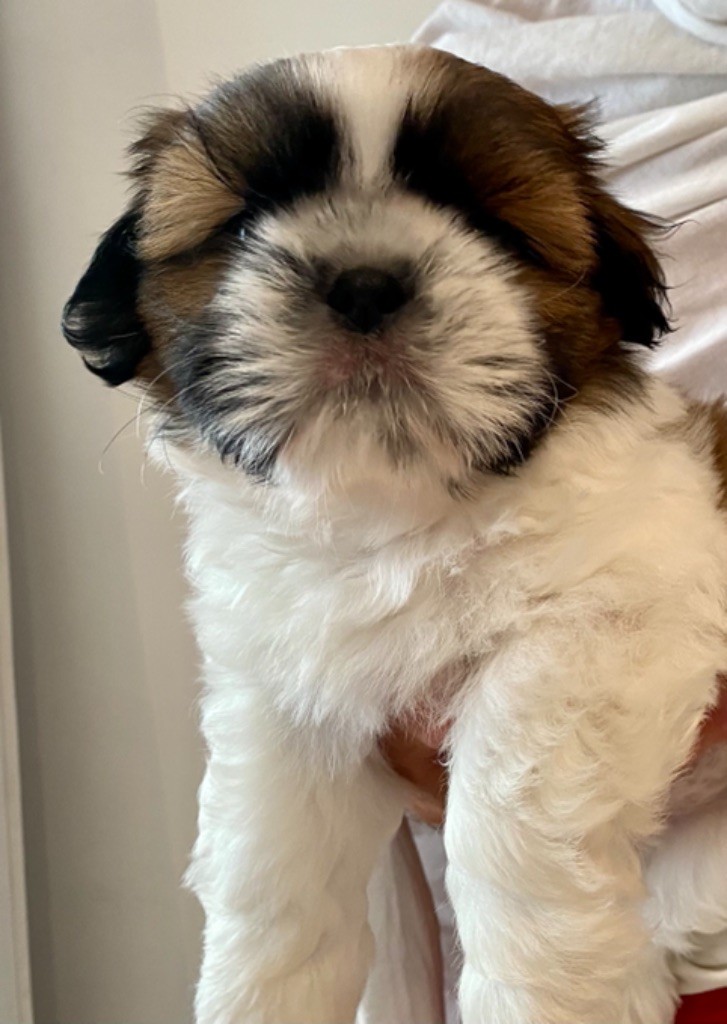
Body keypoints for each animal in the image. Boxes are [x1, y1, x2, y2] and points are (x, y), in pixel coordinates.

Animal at [62, 45, 727, 1024]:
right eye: (245, 221)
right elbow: (270, 873)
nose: (364, 283)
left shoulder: (612, 619)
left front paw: (534, 995)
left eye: (485, 223)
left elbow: (509, 821)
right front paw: (260, 993)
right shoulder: (281, 692)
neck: (393, 516)